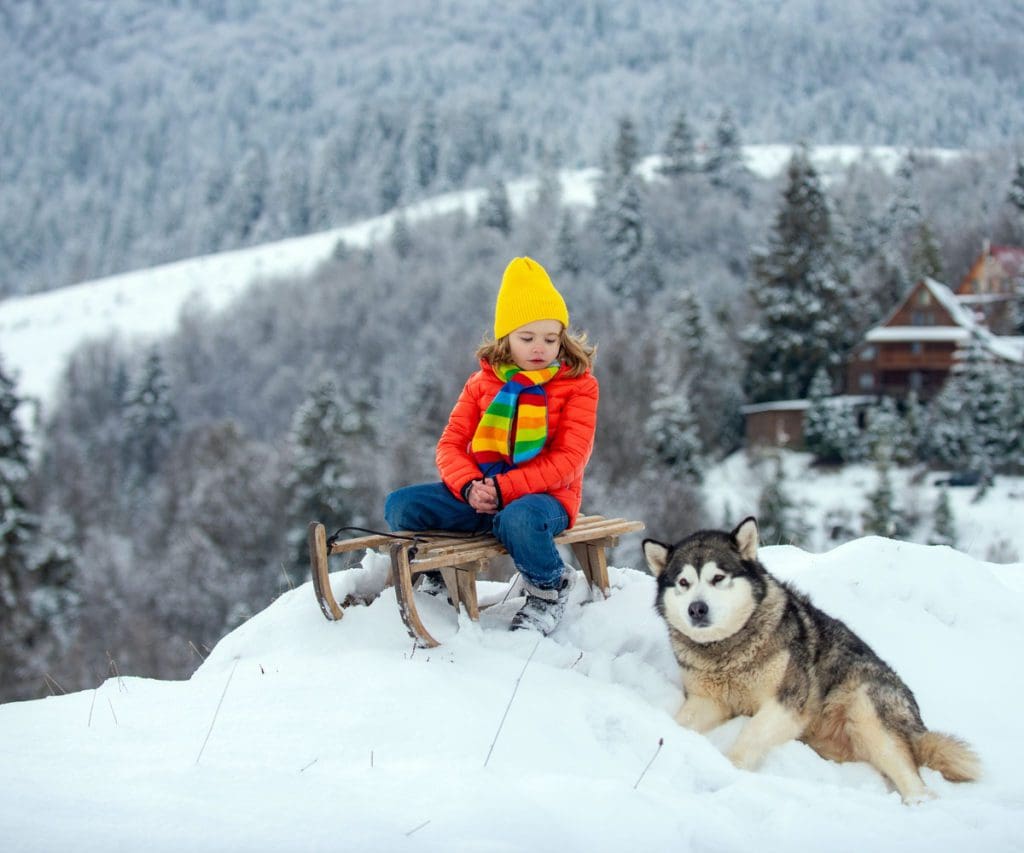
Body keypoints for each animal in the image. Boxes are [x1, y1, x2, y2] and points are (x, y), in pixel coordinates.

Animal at [643, 516, 978, 802]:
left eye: (717, 578)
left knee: (911, 775)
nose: (696, 609)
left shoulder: (789, 704)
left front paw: (729, 767)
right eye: (683, 583)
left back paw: (918, 801)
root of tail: (917, 720)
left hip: (867, 710)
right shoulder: (707, 701)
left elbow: (751, 734)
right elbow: (681, 722)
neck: (727, 652)